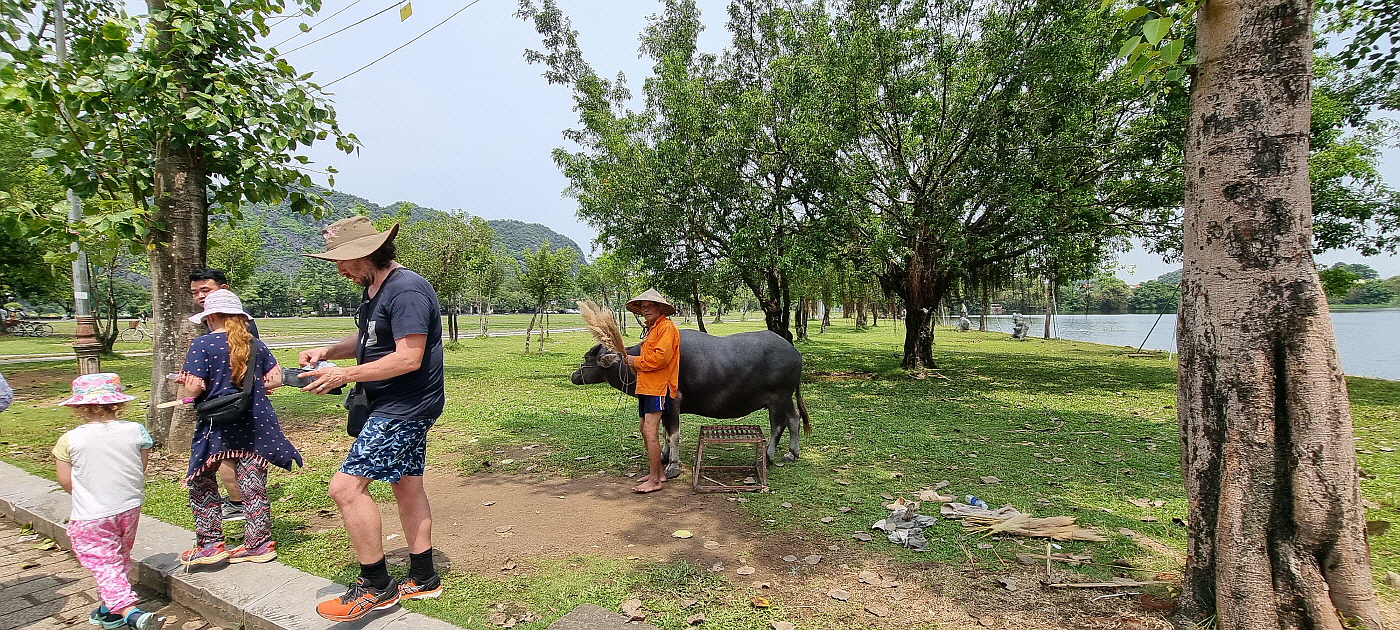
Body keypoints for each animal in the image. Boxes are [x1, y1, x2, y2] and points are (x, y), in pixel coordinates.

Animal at [568, 330, 812, 478]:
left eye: (587, 359)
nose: (574, 376)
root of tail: (794, 352)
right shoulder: (663, 406)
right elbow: (664, 432)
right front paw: (664, 456)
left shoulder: (673, 402)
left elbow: (673, 434)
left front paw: (673, 465)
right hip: (786, 398)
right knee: (794, 418)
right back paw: (792, 453)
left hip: (778, 398)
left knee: (777, 426)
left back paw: (768, 456)